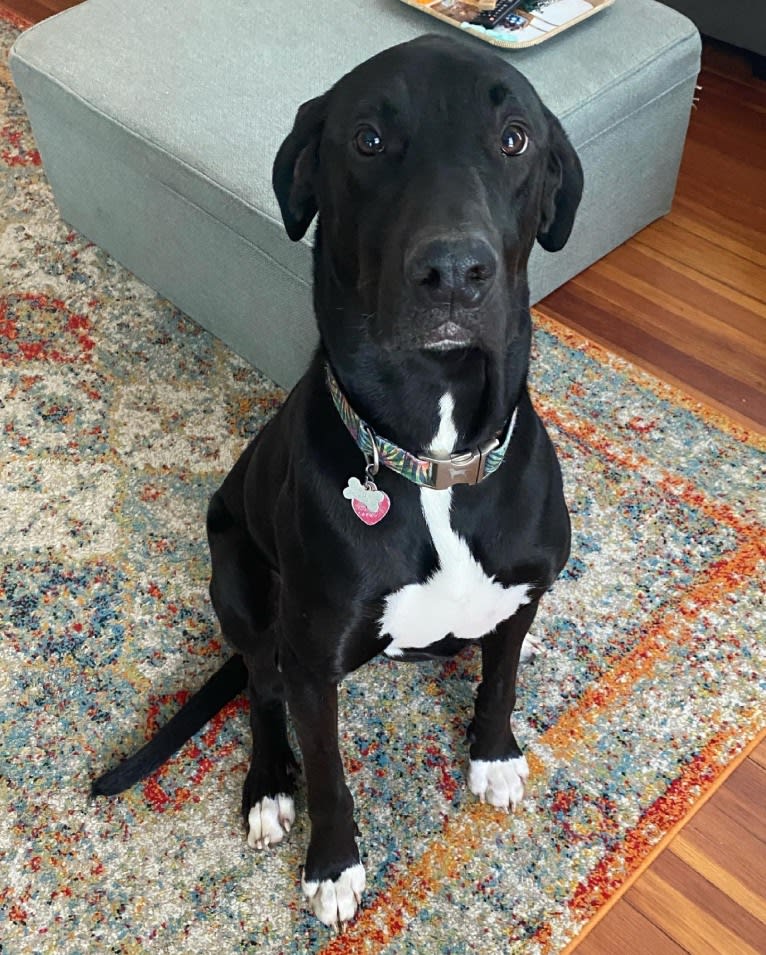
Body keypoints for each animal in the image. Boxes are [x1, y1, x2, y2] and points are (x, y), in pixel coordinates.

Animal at [93, 35, 584, 928]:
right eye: (368, 139)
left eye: (515, 139)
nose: (454, 271)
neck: (433, 460)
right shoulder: (314, 660)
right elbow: (328, 769)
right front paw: (332, 864)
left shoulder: (525, 596)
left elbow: (502, 677)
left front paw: (493, 752)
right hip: (240, 580)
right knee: (260, 688)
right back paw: (265, 788)